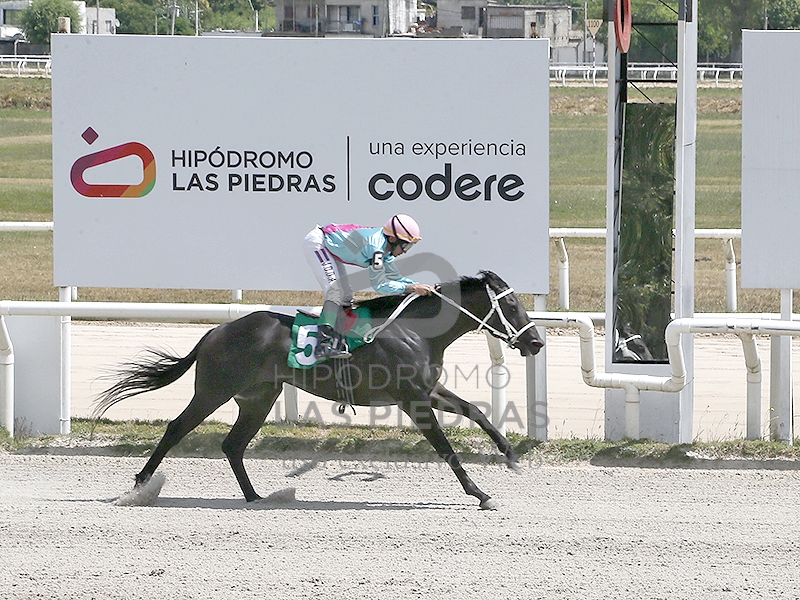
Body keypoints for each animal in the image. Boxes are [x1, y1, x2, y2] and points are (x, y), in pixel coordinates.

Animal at [94, 270, 544, 509]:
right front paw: (480, 493)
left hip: (259, 397)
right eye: (512, 306)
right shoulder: (413, 400)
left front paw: (511, 456)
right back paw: (139, 487)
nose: (537, 342)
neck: (415, 331)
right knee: (176, 429)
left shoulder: (426, 390)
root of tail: (215, 331)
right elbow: (446, 449)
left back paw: (256, 496)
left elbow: (477, 412)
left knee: (233, 445)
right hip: (213, 391)